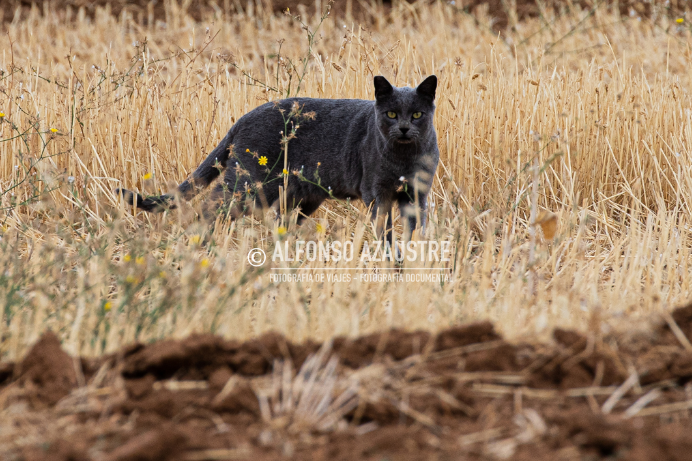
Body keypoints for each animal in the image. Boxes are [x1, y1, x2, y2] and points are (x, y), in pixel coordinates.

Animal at [115, 74, 438, 241]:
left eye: (417, 114)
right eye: (391, 114)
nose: (404, 128)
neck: (404, 157)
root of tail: (244, 117)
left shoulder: (417, 194)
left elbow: (416, 228)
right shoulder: (377, 194)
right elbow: (385, 232)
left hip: (298, 197)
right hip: (249, 185)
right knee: (209, 208)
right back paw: (201, 244)